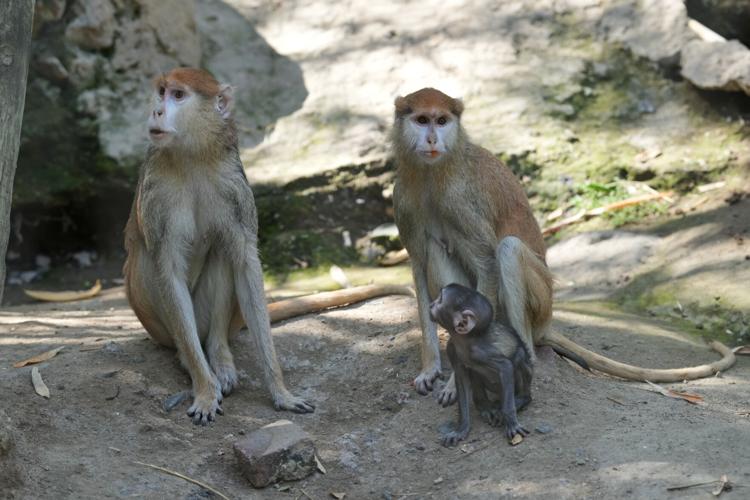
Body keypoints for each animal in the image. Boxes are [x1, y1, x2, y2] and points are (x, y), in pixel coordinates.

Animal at [390, 87, 735, 403]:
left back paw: (524, 357)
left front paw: (455, 379)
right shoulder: (404, 200)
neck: (432, 174)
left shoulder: (460, 200)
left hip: (542, 303)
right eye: (421, 120)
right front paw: (431, 368)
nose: (432, 139)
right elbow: (419, 264)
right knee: (436, 249)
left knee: (509, 250)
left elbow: (487, 260)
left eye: (442, 121)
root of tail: (545, 326)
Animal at [430, 284, 531, 447]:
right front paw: (461, 428)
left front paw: (511, 422)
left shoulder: (482, 352)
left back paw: (521, 399)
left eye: (440, 300)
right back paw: (485, 407)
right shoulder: (452, 348)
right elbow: (461, 376)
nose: (431, 305)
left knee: (520, 354)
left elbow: (506, 367)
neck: (465, 341)